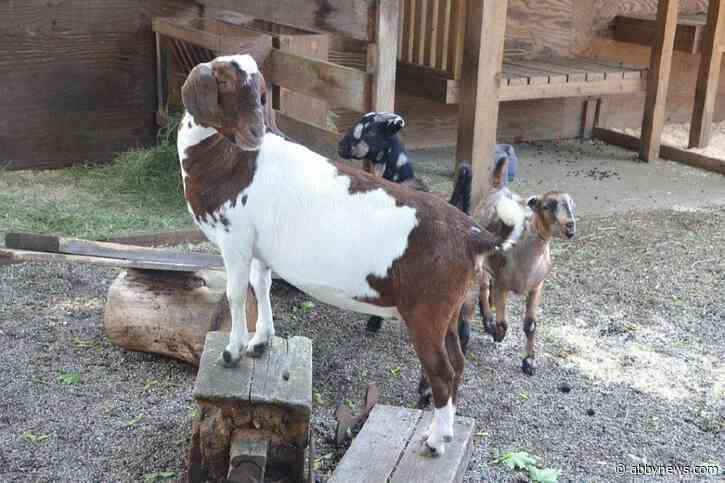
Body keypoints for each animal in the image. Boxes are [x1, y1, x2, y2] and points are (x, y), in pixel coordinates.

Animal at [465, 157, 576, 375]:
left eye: (570, 204)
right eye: (546, 206)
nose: (570, 226)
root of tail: (499, 186)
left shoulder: (537, 287)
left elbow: (530, 325)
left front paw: (529, 362)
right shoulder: (502, 285)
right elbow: (504, 323)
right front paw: (497, 334)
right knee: (483, 288)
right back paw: (488, 321)